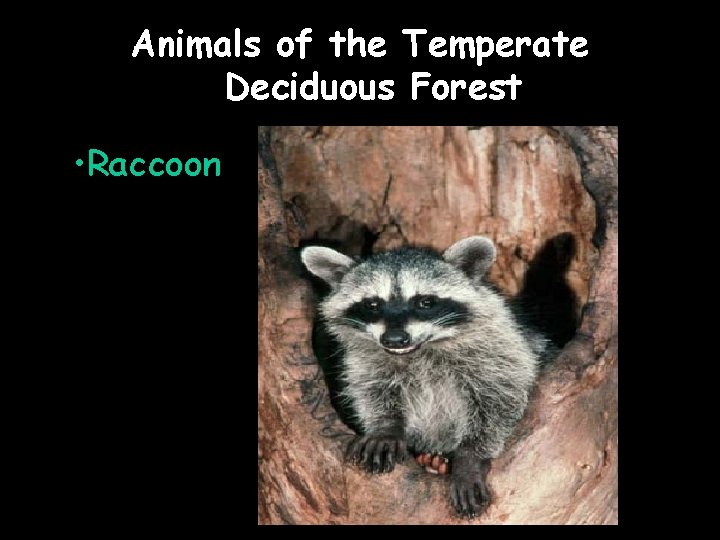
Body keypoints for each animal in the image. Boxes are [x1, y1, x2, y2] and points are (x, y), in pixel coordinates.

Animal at [301, 236, 545, 518]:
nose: (395, 339)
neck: (420, 350)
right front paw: (385, 428)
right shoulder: (367, 362)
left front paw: (471, 456)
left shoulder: (501, 348)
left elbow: (501, 398)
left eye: (425, 302)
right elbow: (371, 391)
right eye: (372, 304)